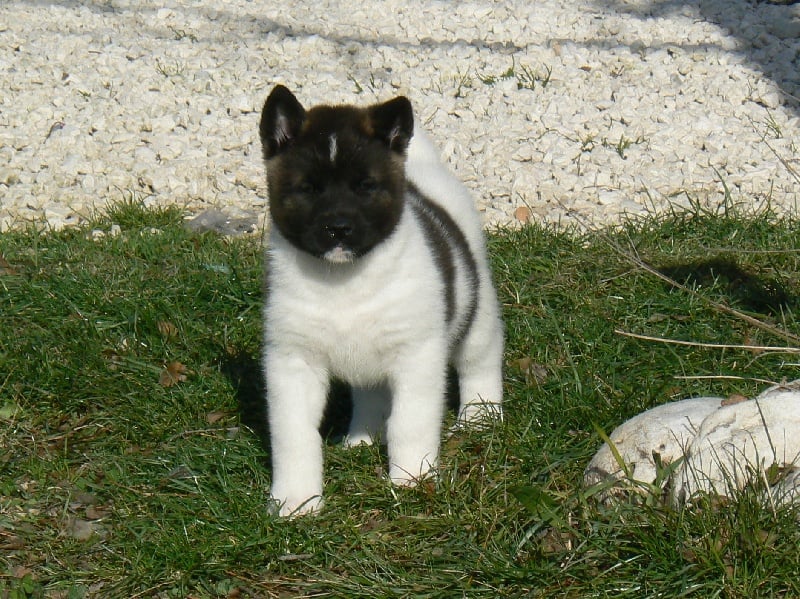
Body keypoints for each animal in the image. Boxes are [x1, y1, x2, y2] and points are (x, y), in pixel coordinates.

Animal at [260, 83, 504, 516]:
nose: (338, 228)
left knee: (481, 357)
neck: (344, 282)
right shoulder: (292, 361)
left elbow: (410, 422)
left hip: (476, 309)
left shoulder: (417, 355)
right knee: (370, 393)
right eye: (308, 188)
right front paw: (296, 500)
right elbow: (294, 436)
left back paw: (480, 416)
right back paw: (363, 438)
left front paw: (411, 480)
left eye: (365, 186)